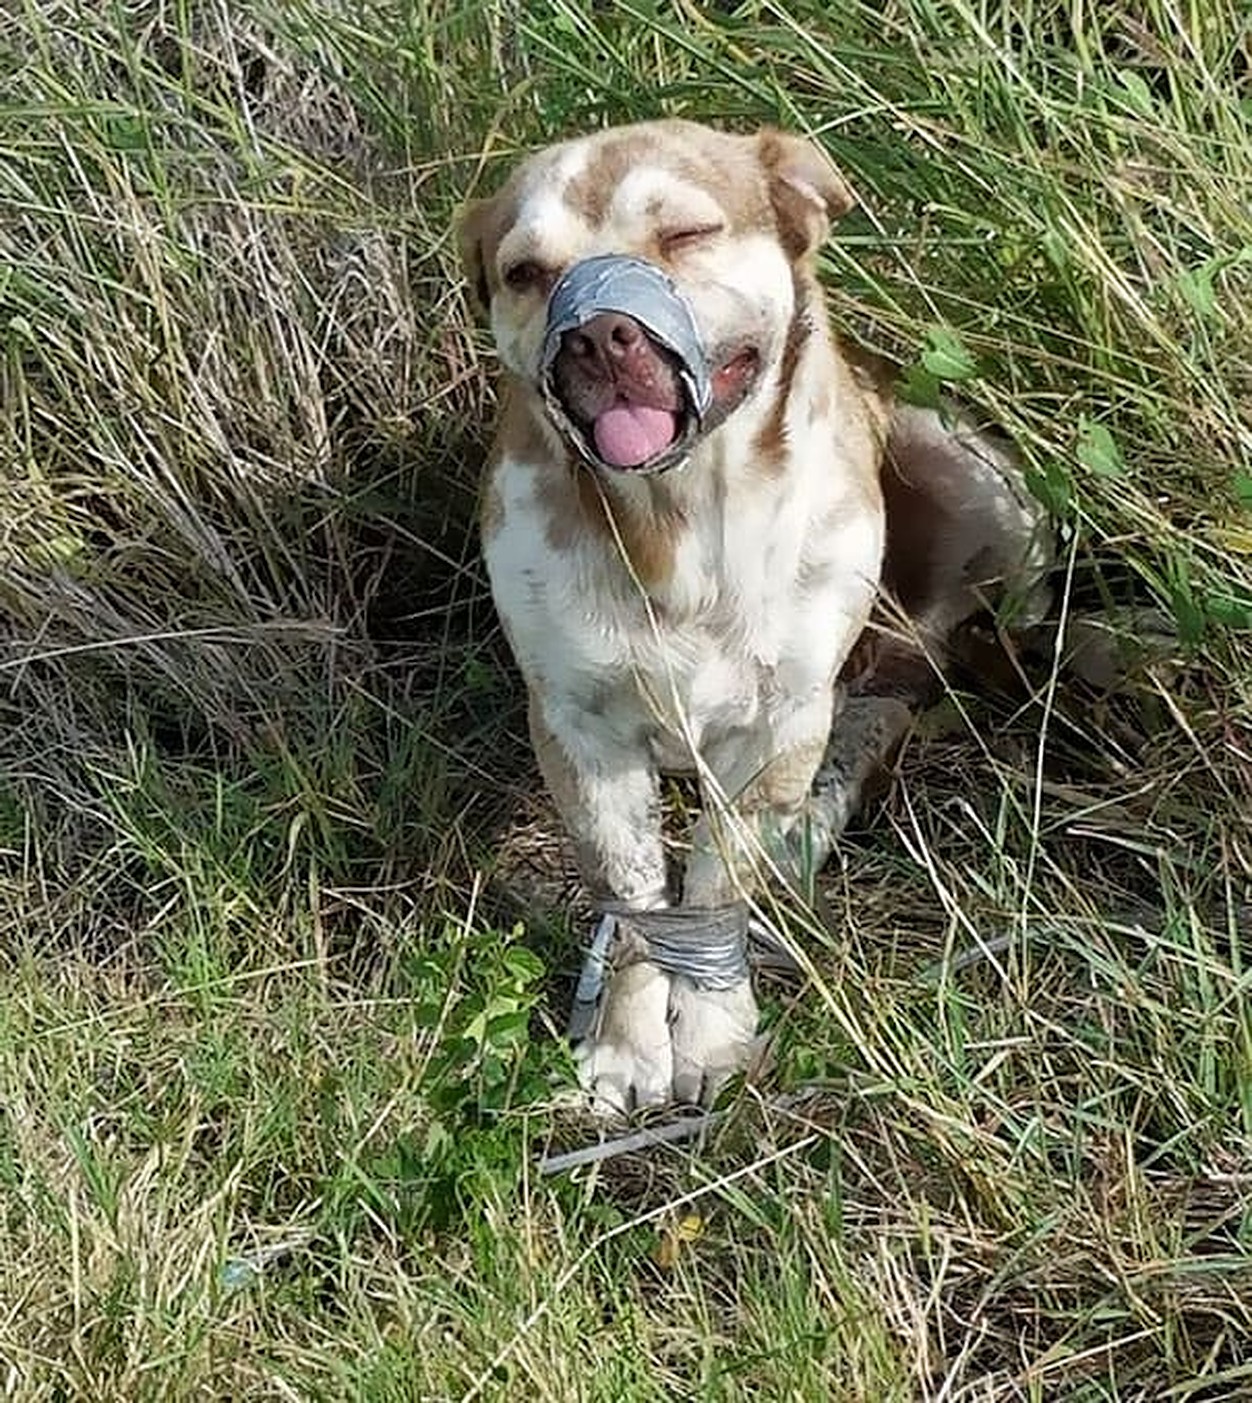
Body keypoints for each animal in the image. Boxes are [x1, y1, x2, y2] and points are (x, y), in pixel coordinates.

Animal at [460, 120, 1044, 1111]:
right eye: (526, 272)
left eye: (689, 234)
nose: (599, 334)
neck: (682, 522)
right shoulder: (579, 729)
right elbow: (636, 895)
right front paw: (626, 1044)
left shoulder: (778, 722)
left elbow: (712, 882)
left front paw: (712, 1033)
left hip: (982, 487)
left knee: (902, 685)